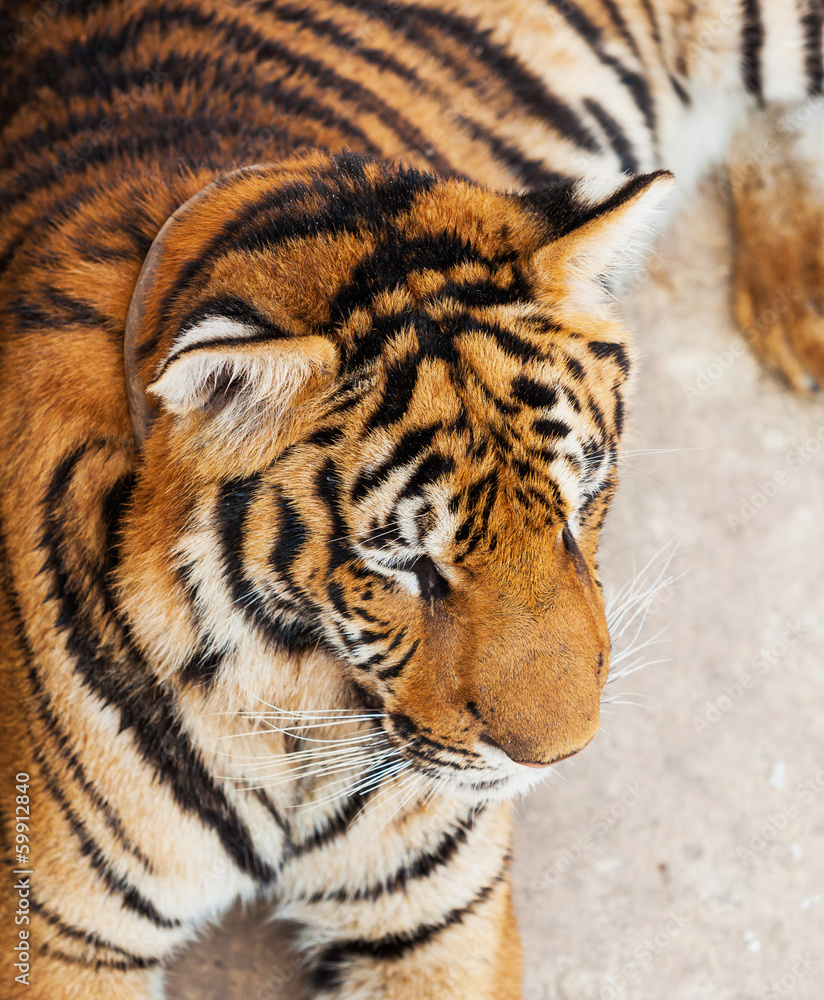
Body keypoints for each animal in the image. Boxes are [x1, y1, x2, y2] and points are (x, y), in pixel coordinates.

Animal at [0, 1, 822, 998]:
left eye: (579, 503)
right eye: (402, 565)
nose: (558, 757)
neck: (295, 695)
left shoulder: (440, 912)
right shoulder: (58, 928)